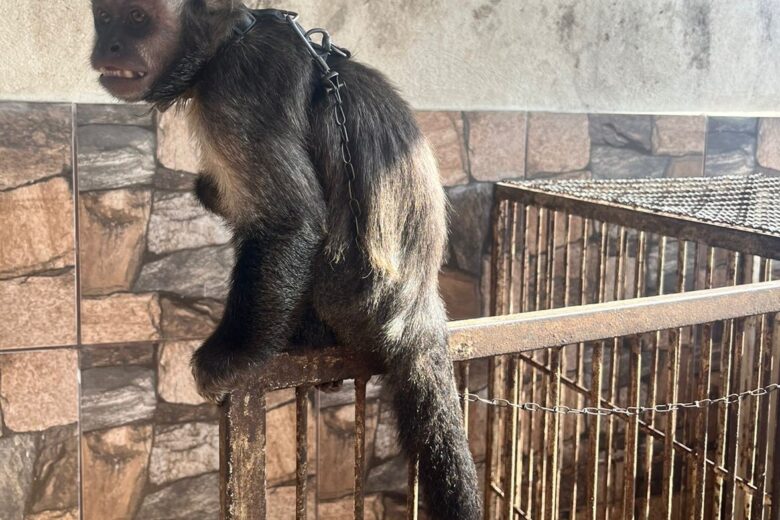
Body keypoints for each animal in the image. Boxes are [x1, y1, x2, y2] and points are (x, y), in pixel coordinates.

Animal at [91, 1, 481, 517]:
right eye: (104, 17)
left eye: (136, 18)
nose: (108, 44)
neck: (230, 37)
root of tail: (419, 311)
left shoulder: (237, 86)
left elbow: (290, 222)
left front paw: (225, 360)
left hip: (349, 295)